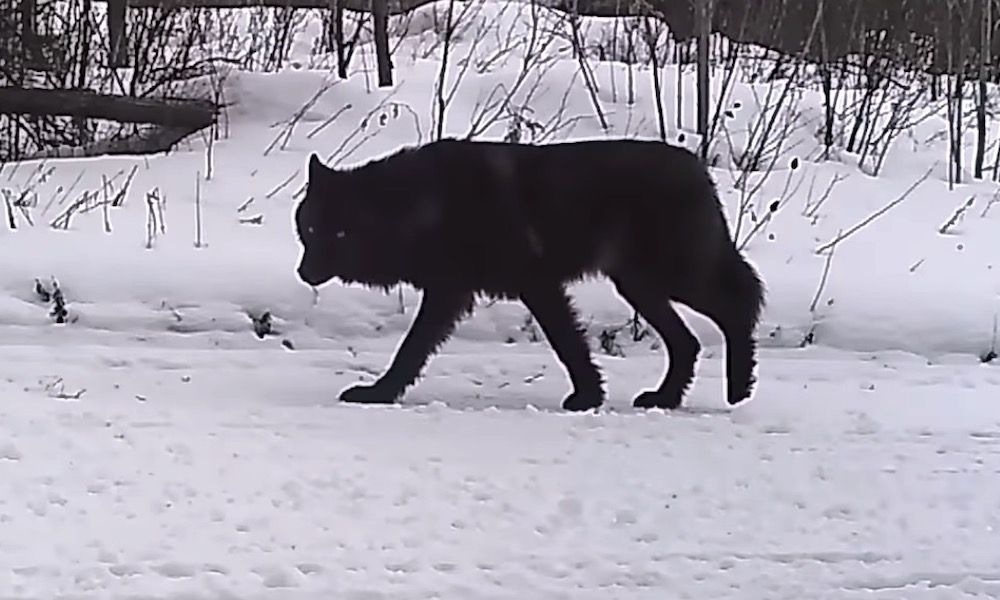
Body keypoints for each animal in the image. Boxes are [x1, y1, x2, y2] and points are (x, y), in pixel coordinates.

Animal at [295, 138, 765, 412]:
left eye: (341, 231)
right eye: (312, 228)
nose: (303, 272)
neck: (423, 204)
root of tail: (697, 167)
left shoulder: (534, 285)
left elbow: (566, 343)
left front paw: (587, 397)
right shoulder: (450, 292)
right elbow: (411, 351)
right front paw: (380, 393)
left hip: (673, 276)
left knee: (739, 301)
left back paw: (738, 385)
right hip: (639, 285)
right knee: (687, 341)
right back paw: (664, 398)